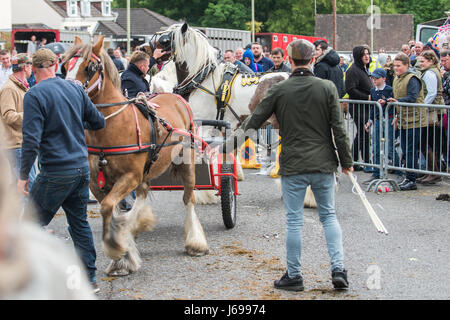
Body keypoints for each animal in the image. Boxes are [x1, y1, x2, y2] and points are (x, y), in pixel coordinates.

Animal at [62, 34, 210, 276]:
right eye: (65, 65)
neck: (110, 126)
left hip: (186, 162)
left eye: (89, 66)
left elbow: (108, 208)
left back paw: (195, 243)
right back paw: (136, 224)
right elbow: (111, 210)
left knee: (188, 198)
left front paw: (116, 248)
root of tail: (177, 97)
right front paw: (123, 255)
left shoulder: (129, 176)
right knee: (143, 193)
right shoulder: (97, 182)